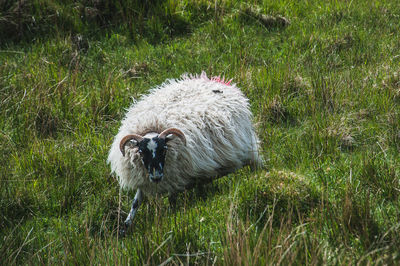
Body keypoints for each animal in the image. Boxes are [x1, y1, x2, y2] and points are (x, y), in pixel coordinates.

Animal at [107, 71, 262, 232]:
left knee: (256, 164)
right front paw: (125, 227)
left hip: (250, 149)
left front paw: (171, 220)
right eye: (141, 152)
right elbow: (135, 203)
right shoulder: (144, 179)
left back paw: (257, 178)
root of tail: (215, 80)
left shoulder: (175, 179)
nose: (156, 176)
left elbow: (172, 203)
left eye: (164, 149)